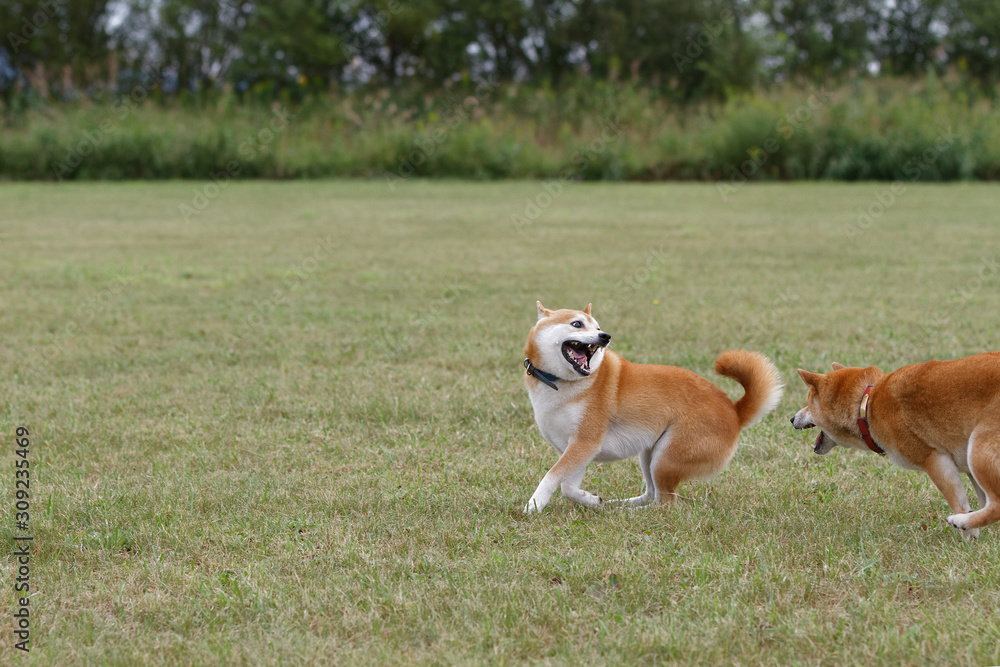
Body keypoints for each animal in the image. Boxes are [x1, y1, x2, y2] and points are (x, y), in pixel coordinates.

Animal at [520, 302, 784, 516]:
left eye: (598, 327)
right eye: (577, 324)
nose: (605, 336)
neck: (563, 384)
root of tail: (734, 410)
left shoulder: (585, 442)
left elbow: (552, 477)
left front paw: (533, 505)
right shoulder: (575, 448)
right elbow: (567, 487)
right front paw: (591, 500)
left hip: (665, 458)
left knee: (665, 504)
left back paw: (630, 513)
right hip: (649, 454)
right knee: (652, 494)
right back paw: (618, 505)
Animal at [788, 352, 1000, 540]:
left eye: (808, 402)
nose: (791, 418)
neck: (867, 406)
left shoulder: (936, 460)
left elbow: (959, 502)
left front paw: (969, 535)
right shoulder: (966, 469)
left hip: (978, 450)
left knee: (996, 505)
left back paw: (961, 521)